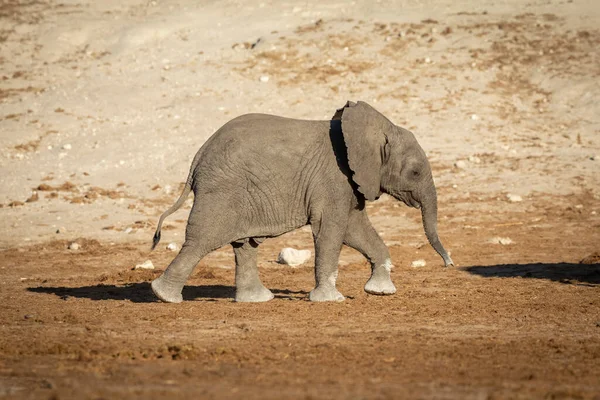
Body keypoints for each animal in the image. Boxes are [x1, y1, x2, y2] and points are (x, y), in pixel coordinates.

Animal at [151, 100, 454, 304]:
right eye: (415, 173)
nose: (449, 264)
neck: (372, 130)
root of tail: (198, 156)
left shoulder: (350, 183)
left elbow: (355, 230)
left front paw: (380, 291)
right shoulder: (333, 178)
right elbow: (331, 230)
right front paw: (330, 300)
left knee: (244, 245)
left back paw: (257, 299)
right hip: (222, 191)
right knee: (201, 240)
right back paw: (164, 296)